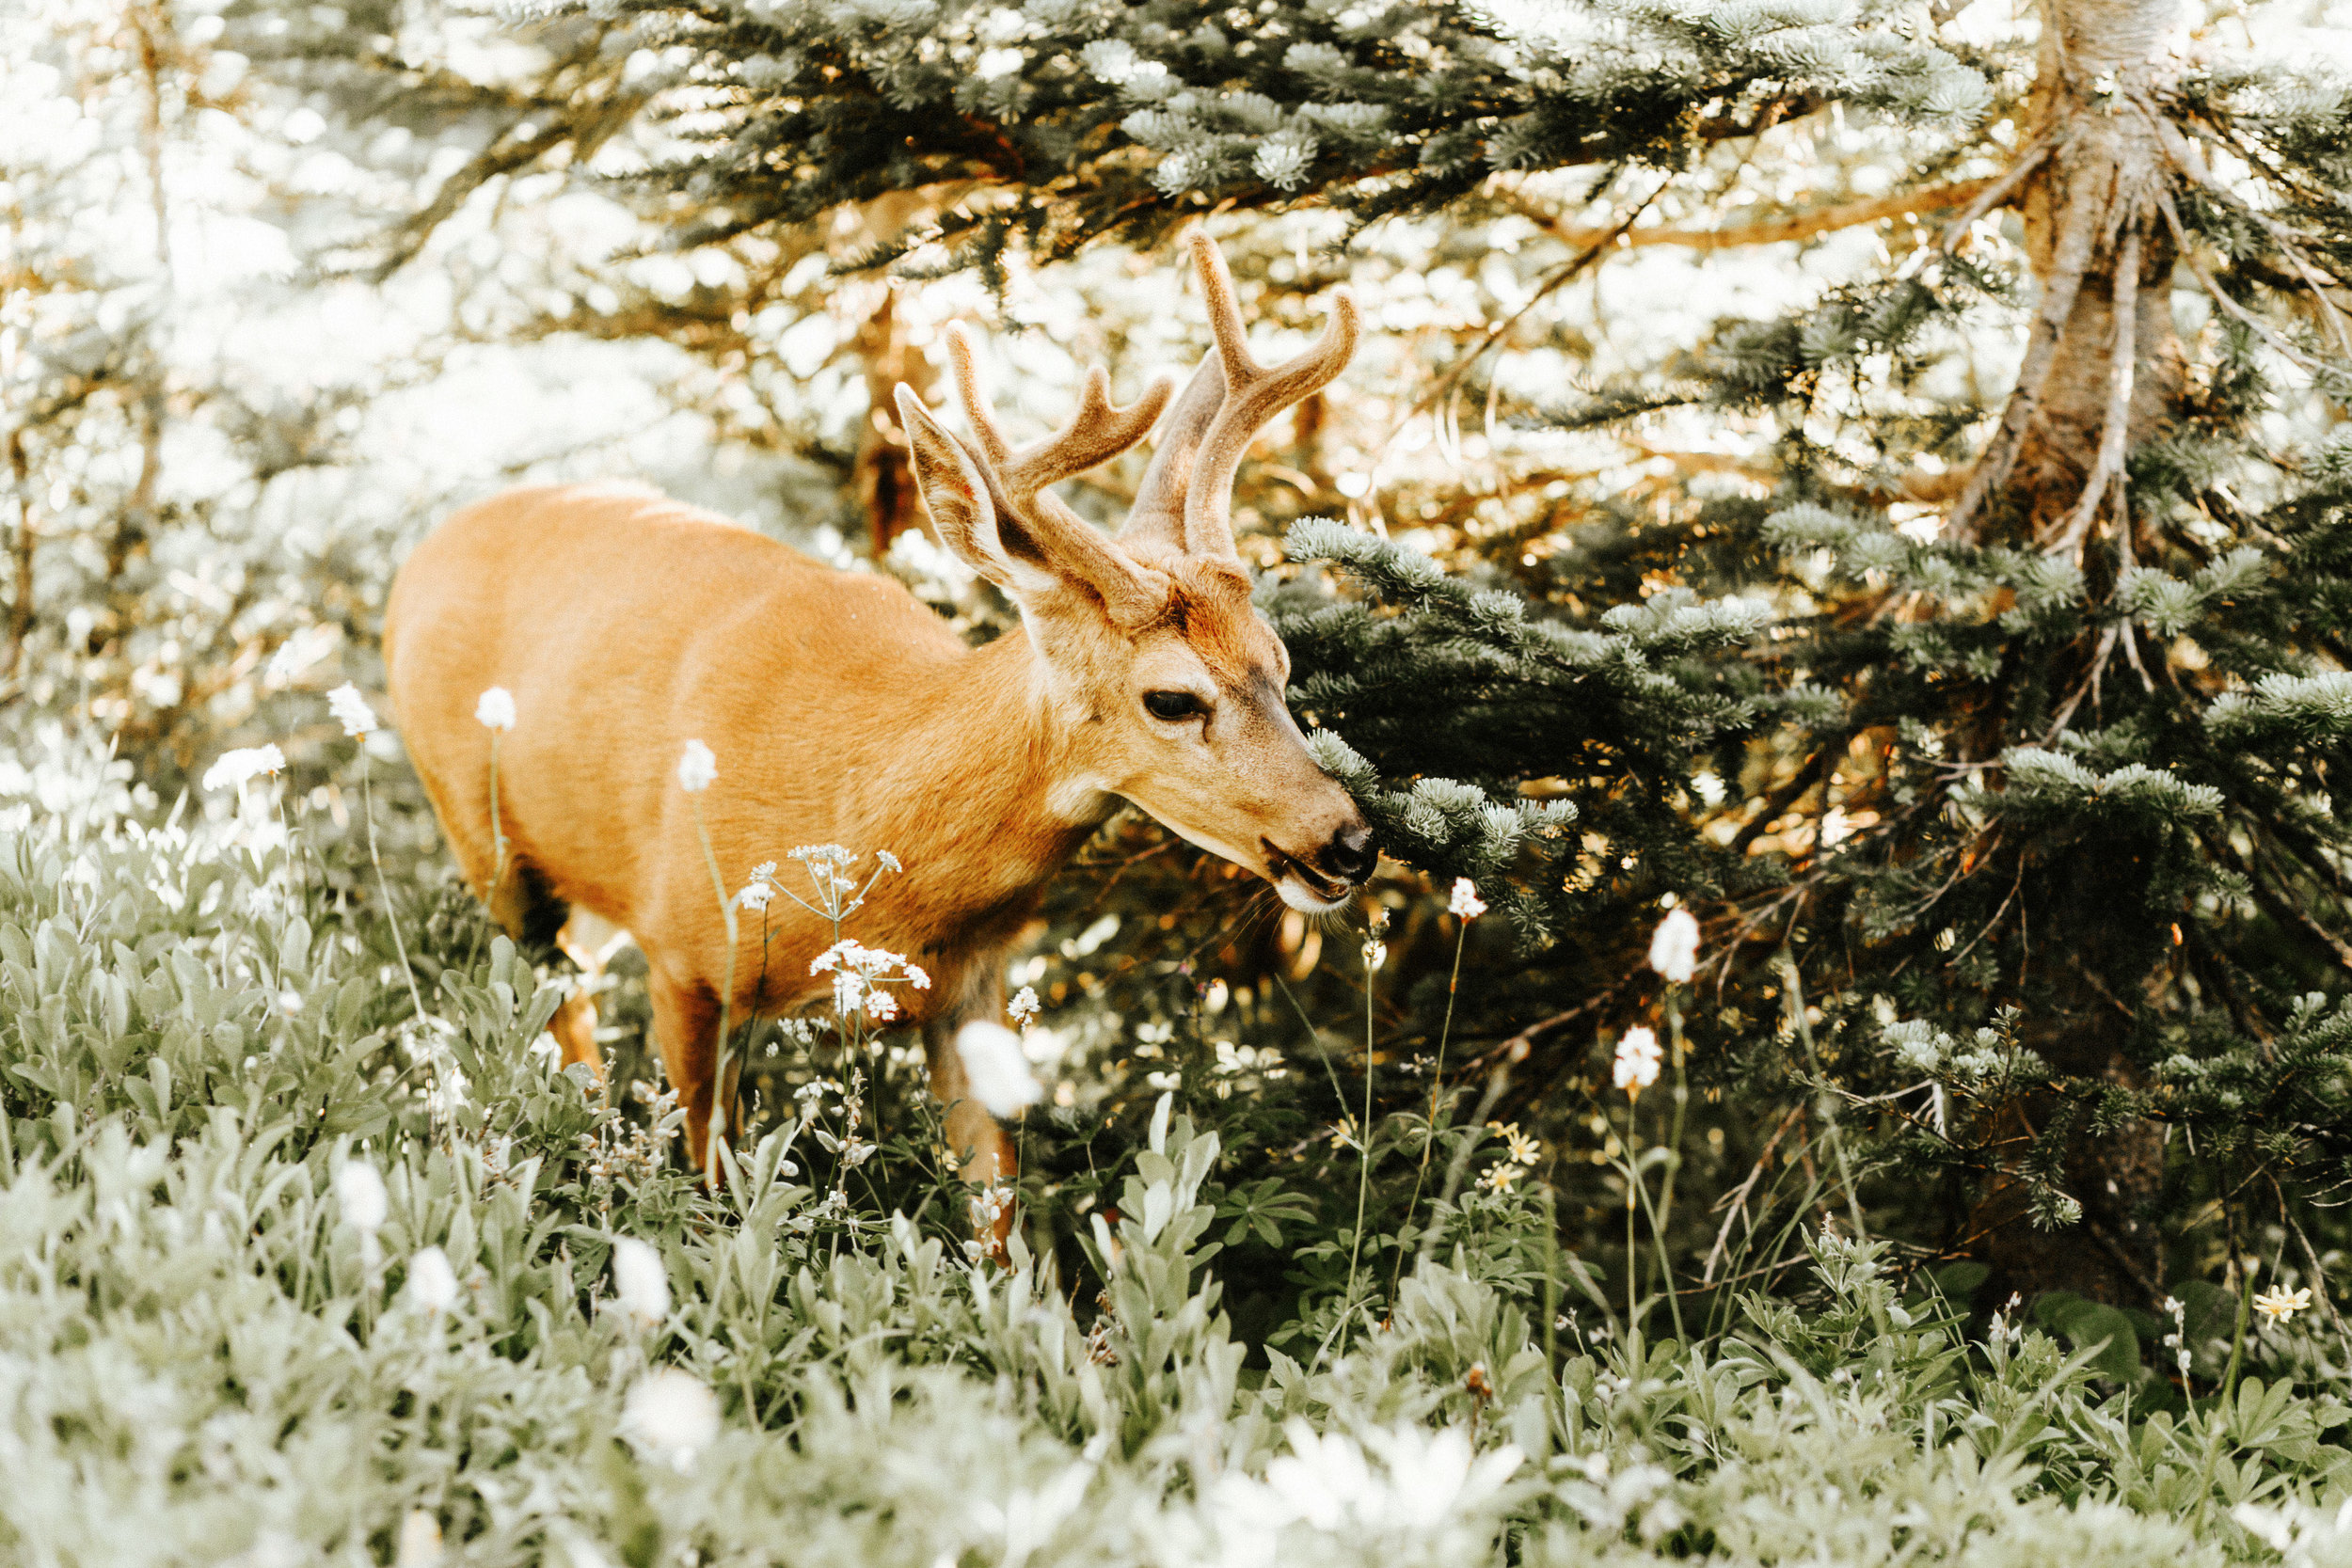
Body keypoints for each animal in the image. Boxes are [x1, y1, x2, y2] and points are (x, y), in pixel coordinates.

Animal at [383, 232, 1374, 1212]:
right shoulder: (687, 952)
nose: (1350, 839)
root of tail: (417, 557)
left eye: (1282, 659)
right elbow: (709, 1185)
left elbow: (994, 1212)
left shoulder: (972, 984)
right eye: (1171, 698)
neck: (863, 802)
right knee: (553, 1007)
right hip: (482, 837)